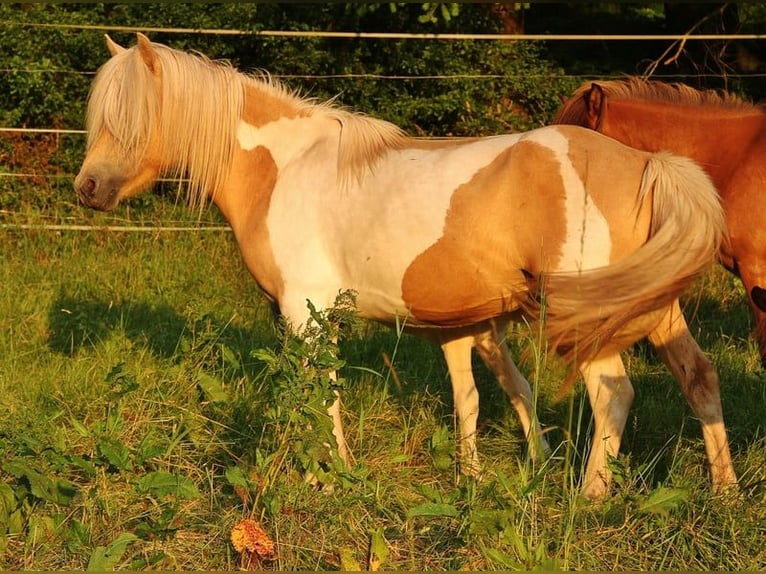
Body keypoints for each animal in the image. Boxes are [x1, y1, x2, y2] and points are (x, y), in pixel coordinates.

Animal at [75, 34, 728, 500]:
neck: (284, 169)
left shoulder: (306, 313)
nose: (88, 189)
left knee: (613, 394)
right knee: (699, 377)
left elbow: (321, 397)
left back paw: (589, 499)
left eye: (131, 119)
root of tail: (647, 165)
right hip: (655, 310)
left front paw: (326, 478)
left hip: (592, 322)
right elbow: (472, 396)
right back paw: (725, 494)